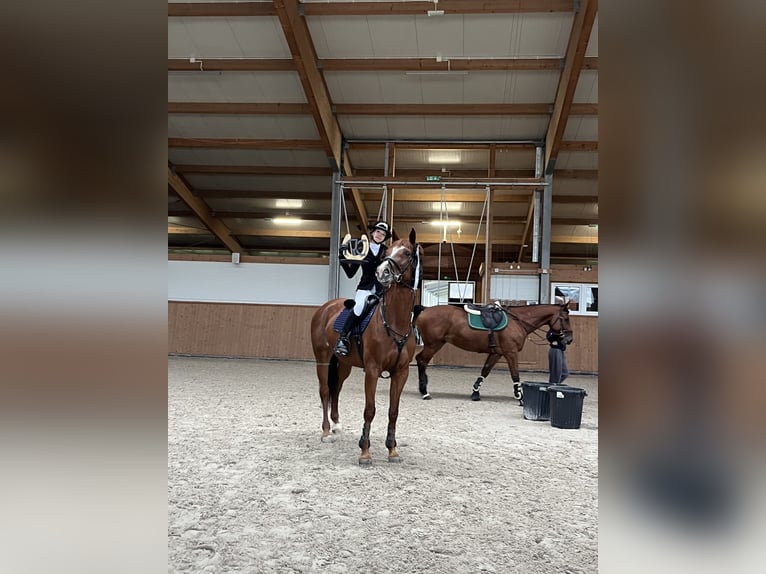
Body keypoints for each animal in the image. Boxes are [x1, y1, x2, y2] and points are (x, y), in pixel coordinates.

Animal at [310, 228, 424, 465]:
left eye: (407, 253)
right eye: (386, 254)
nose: (382, 272)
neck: (394, 320)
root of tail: (326, 307)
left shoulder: (401, 372)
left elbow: (393, 411)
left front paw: (392, 450)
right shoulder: (372, 370)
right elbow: (370, 410)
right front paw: (364, 451)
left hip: (343, 364)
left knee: (336, 389)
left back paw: (336, 425)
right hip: (322, 359)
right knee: (325, 391)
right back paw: (325, 432)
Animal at [413, 302, 573, 401]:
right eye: (565, 318)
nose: (569, 339)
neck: (517, 321)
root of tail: (425, 309)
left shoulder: (497, 353)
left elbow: (485, 371)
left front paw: (475, 392)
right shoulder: (511, 353)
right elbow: (515, 375)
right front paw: (519, 396)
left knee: (421, 361)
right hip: (433, 345)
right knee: (421, 360)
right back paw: (424, 392)